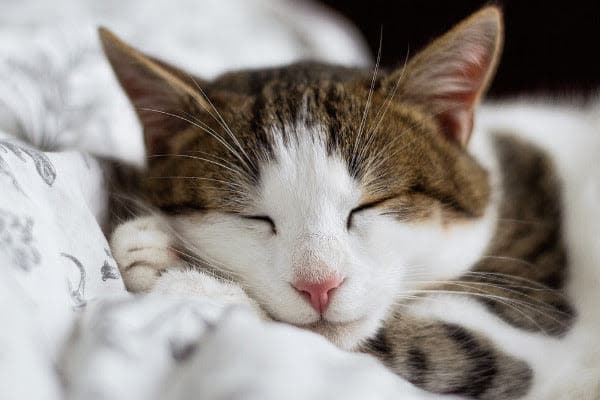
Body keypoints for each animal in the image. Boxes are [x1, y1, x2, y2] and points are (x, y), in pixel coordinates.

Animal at [103, 7, 600, 400]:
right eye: (252, 216)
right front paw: (158, 247)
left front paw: (196, 284)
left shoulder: (535, 325)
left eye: (368, 206)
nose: (319, 286)